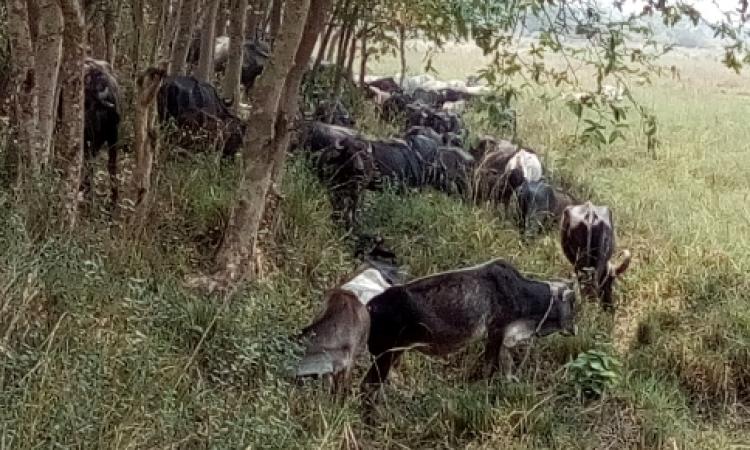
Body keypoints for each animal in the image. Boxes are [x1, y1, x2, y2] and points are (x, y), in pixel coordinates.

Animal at [364, 258, 580, 396]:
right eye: (572, 304)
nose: (573, 330)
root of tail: (370, 305)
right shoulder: (496, 331)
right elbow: (489, 366)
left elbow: (506, 365)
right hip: (384, 354)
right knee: (368, 386)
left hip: (394, 351)